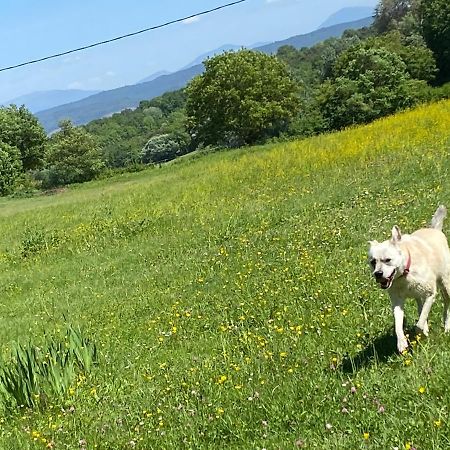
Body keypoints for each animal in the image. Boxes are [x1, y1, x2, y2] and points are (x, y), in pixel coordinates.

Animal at [370, 206, 450, 354]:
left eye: (388, 260)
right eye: (373, 262)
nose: (378, 274)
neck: (405, 274)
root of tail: (435, 229)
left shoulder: (430, 294)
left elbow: (420, 322)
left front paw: (421, 332)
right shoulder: (397, 301)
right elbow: (398, 324)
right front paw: (402, 343)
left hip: (445, 284)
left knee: (447, 304)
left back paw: (446, 326)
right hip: (419, 294)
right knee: (420, 306)